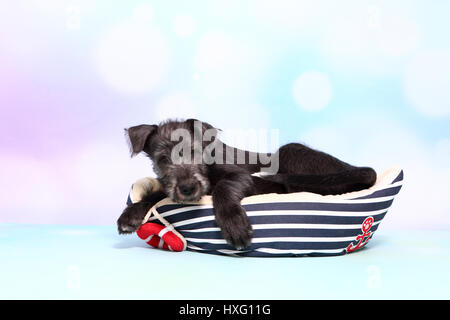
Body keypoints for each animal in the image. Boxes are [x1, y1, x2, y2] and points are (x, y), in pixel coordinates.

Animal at [117, 119, 376, 249]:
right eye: (162, 159)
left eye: (194, 152)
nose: (188, 188)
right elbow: (157, 194)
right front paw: (131, 214)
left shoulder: (241, 176)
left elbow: (223, 187)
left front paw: (234, 224)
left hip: (290, 151)